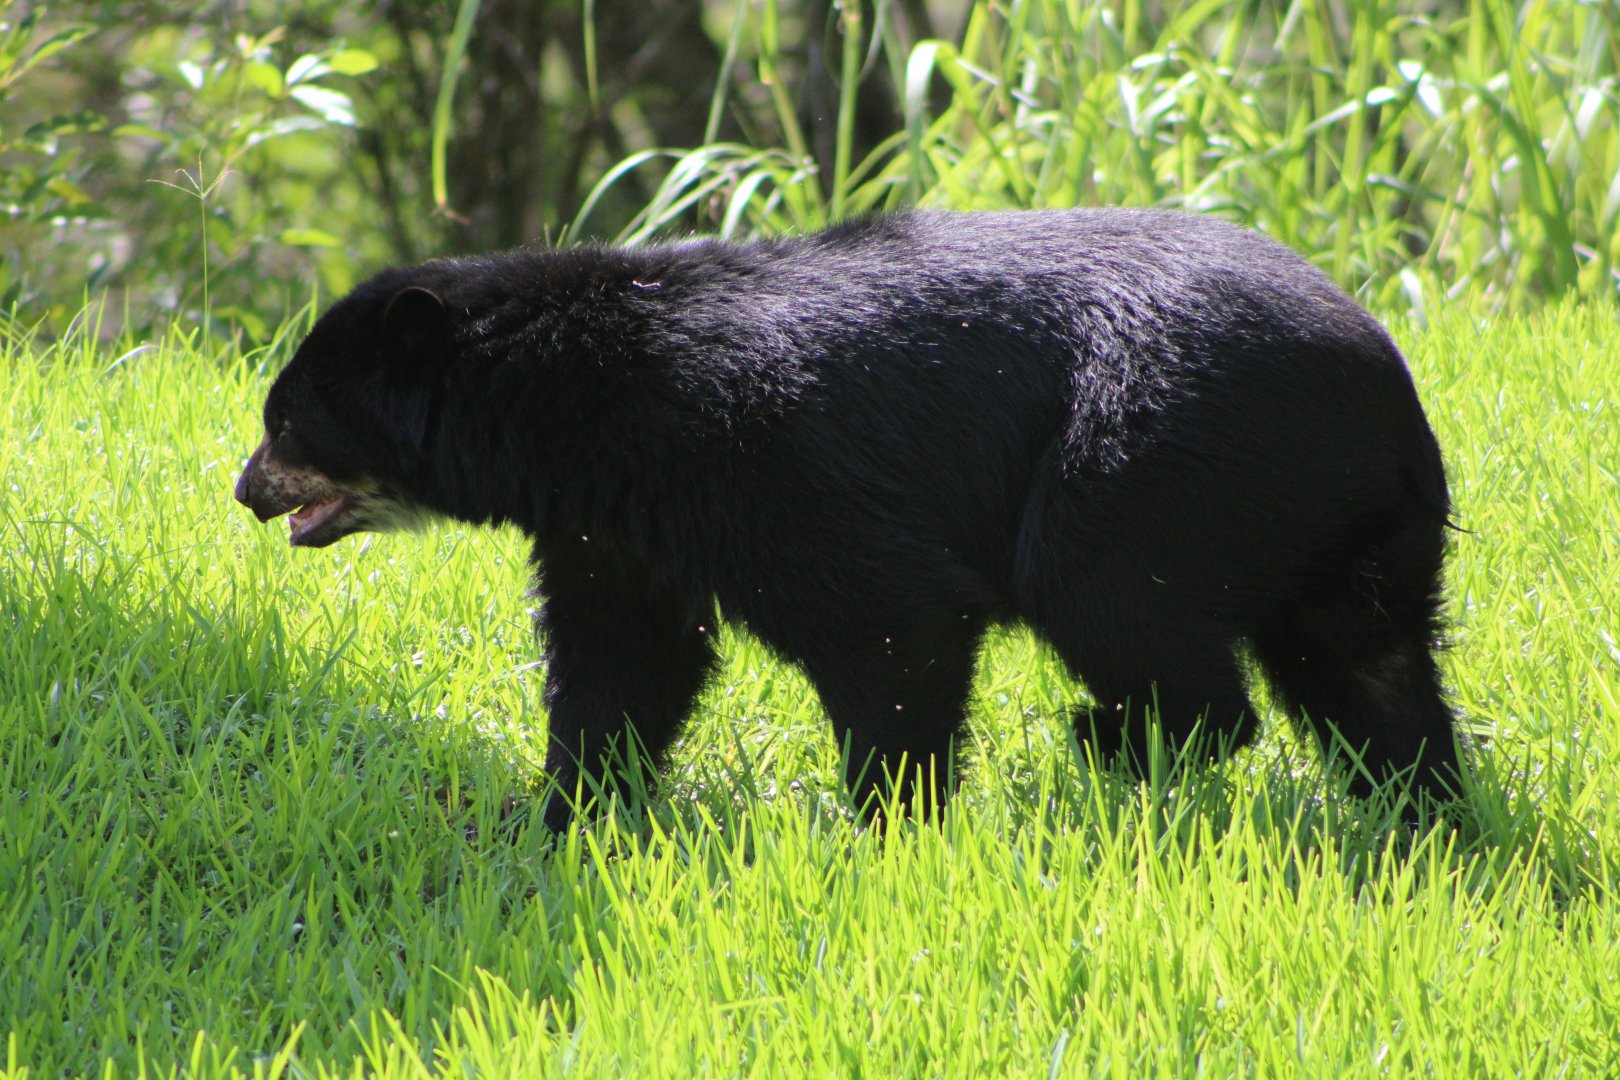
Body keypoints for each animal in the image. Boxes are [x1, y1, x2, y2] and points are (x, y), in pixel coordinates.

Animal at [234, 208, 1463, 830]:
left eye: (287, 417)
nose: (245, 492)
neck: (577, 409)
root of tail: (1388, 388)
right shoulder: (616, 522)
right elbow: (623, 662)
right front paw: (567, 810)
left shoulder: (760, 451)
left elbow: (889, 618)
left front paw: (885, 819)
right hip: (1338, 522)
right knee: (1373, 667)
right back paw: (1425, 815)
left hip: (1153, 448)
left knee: (1110, 598)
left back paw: (1109, 736)